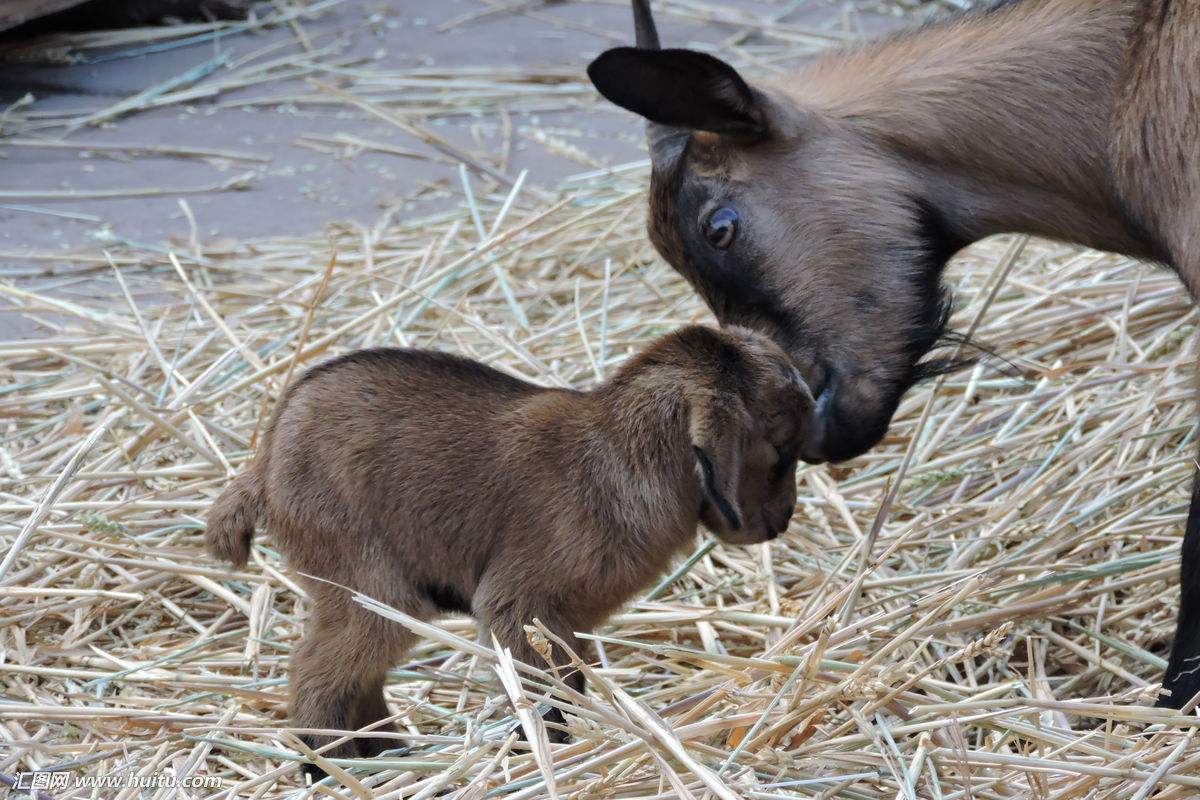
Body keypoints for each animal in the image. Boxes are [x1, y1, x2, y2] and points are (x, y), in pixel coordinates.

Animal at [206, 323, 811, 767]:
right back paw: (330, 767)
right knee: (317, 671)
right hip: (366, 583)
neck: (619, 452)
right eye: (780, 447)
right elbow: (541, 698)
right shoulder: (516, 604)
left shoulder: (568, 622)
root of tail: (264, 464)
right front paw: (547, 757)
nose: (782, 520)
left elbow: (568, 684)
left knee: (357, 676)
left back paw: (389, 753)